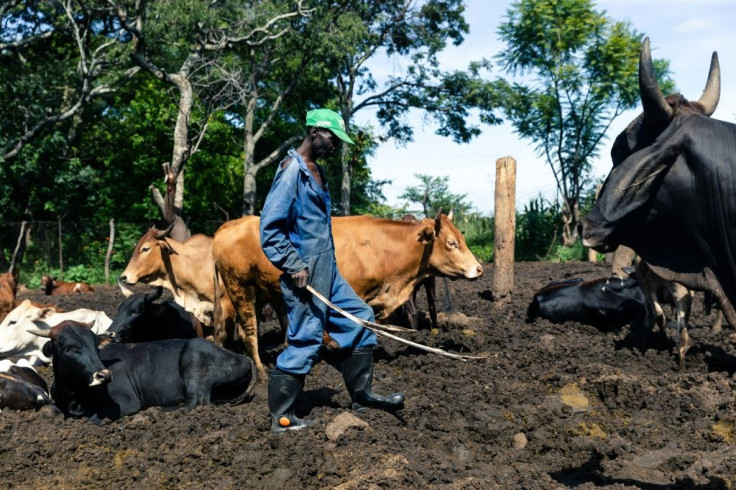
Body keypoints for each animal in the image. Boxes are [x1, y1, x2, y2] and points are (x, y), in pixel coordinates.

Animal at [30, 322, 258, 422]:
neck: (75, 396)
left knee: (196, 402)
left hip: (195, 363)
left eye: (95, 345)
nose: (104, 375)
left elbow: (94, 419)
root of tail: (241, 356)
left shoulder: (127, 401)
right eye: (69, 347)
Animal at [213, 212, 484, 378]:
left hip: (257, 293)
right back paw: (261, 374)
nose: (479, 268)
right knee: (249, 333)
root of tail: (231, 225)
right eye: (451, 243)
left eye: (460, 237)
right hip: (240, 288)